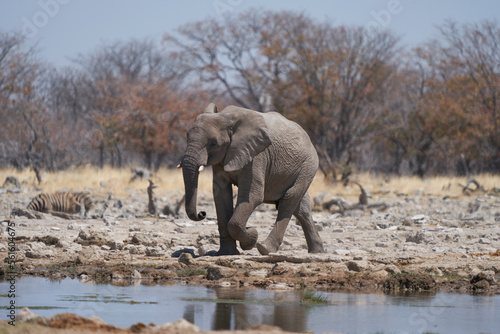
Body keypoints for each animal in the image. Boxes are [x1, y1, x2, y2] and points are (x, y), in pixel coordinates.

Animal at [180, 104, 324, 256]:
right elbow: (221, 195)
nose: (202, 213)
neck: (225, 117)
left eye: (213, 143)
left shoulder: (257, 156)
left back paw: (265, 248)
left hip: (308, 164)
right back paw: (317, 251)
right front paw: (227, 253)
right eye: (187, 136)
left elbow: (252, 196)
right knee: (301, 207)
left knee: (289, 199)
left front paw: (251, 236)